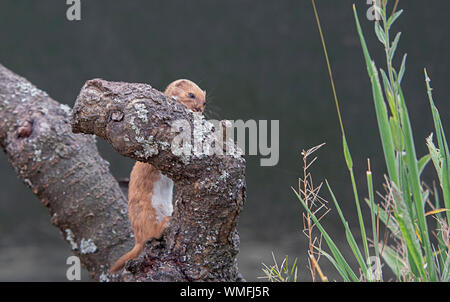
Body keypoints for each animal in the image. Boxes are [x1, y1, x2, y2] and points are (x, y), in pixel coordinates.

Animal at [110, 79, 207, 272]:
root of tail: (137, 238)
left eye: (205, 101)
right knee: (151, 234)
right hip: (147, 212)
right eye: (191, 94)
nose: (199, 108)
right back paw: (165, 223)